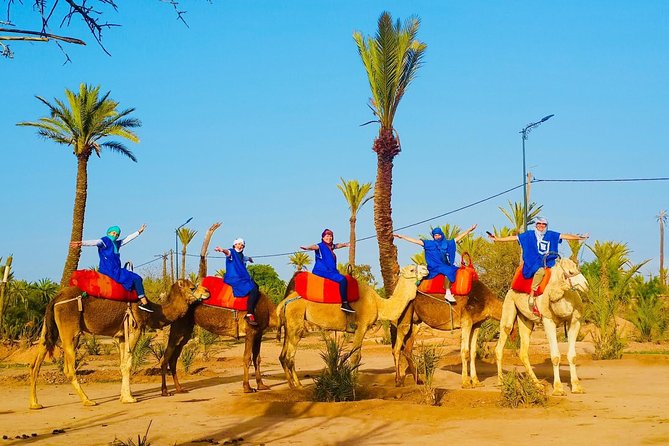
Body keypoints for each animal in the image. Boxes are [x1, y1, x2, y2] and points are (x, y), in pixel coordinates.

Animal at [29, 279, 210, 409]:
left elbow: (123, 364)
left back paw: (35, 403)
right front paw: (130, 398)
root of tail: (55, 298)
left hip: (48, 327)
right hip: (70, 330)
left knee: (36, 361)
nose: (207, 291)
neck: (152, 310)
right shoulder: (134, 328)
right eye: (192, 287)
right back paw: (87, 400)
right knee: (68, 367)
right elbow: (128, 364)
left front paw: (124, 396)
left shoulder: (122, 336)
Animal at [276, 264, 428, 389]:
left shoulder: (359, 329)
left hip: (289, 324)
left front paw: (354, 380)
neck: (378, 304)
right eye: (412, 269)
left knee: (284, 355)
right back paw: (295, 386)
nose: (426, 269)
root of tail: (285, 301)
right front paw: (354, 383)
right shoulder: (362, 326)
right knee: (289, 356)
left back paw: (295, 384)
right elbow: (355, 355)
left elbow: (358, 355)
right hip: (296, 322)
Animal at [495, 257, 588, 396]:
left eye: (577, 268)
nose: (586, 284)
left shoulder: (575, 320)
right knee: (503, 338)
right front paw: (558, 389)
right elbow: (555, 356)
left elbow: (572, 356)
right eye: (570, 272)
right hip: (509, 303)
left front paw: (577, 387)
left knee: (523, 351)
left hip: (526, 321)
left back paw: (537, 384)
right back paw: (501, 382)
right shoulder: (548, 320)